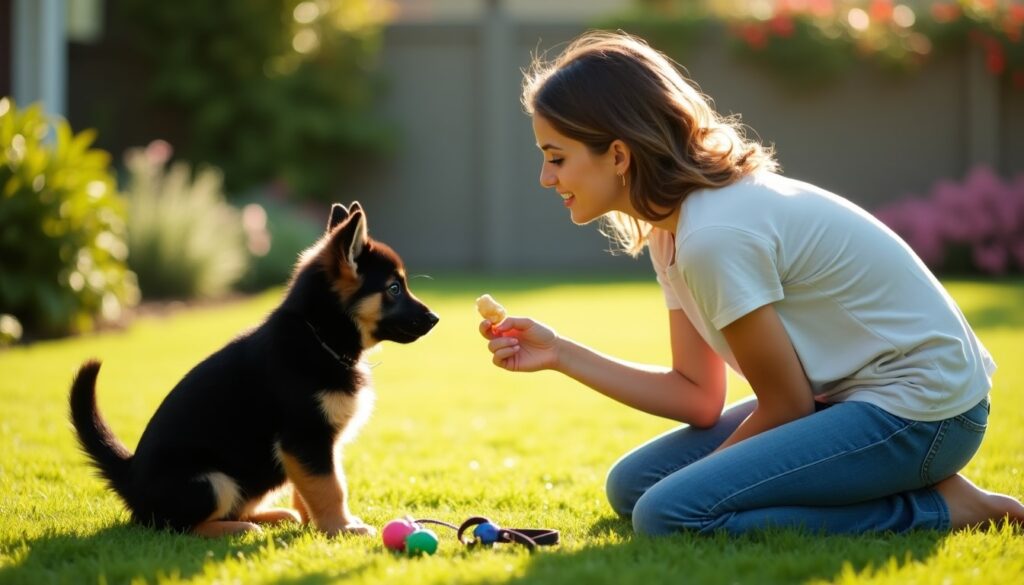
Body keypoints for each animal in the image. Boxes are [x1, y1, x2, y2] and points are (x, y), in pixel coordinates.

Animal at [68, 203, 436, 536]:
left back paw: (272, 517)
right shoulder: (305, 438)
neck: (318, 337)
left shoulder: (315, 450)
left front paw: (317, 527)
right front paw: (340, 527)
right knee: (175, 526)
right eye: (394, 288)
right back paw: (238, 528)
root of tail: (128, 477)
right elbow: (330, 487)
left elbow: (313, 488)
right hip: (213, 481)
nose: (435, 319)